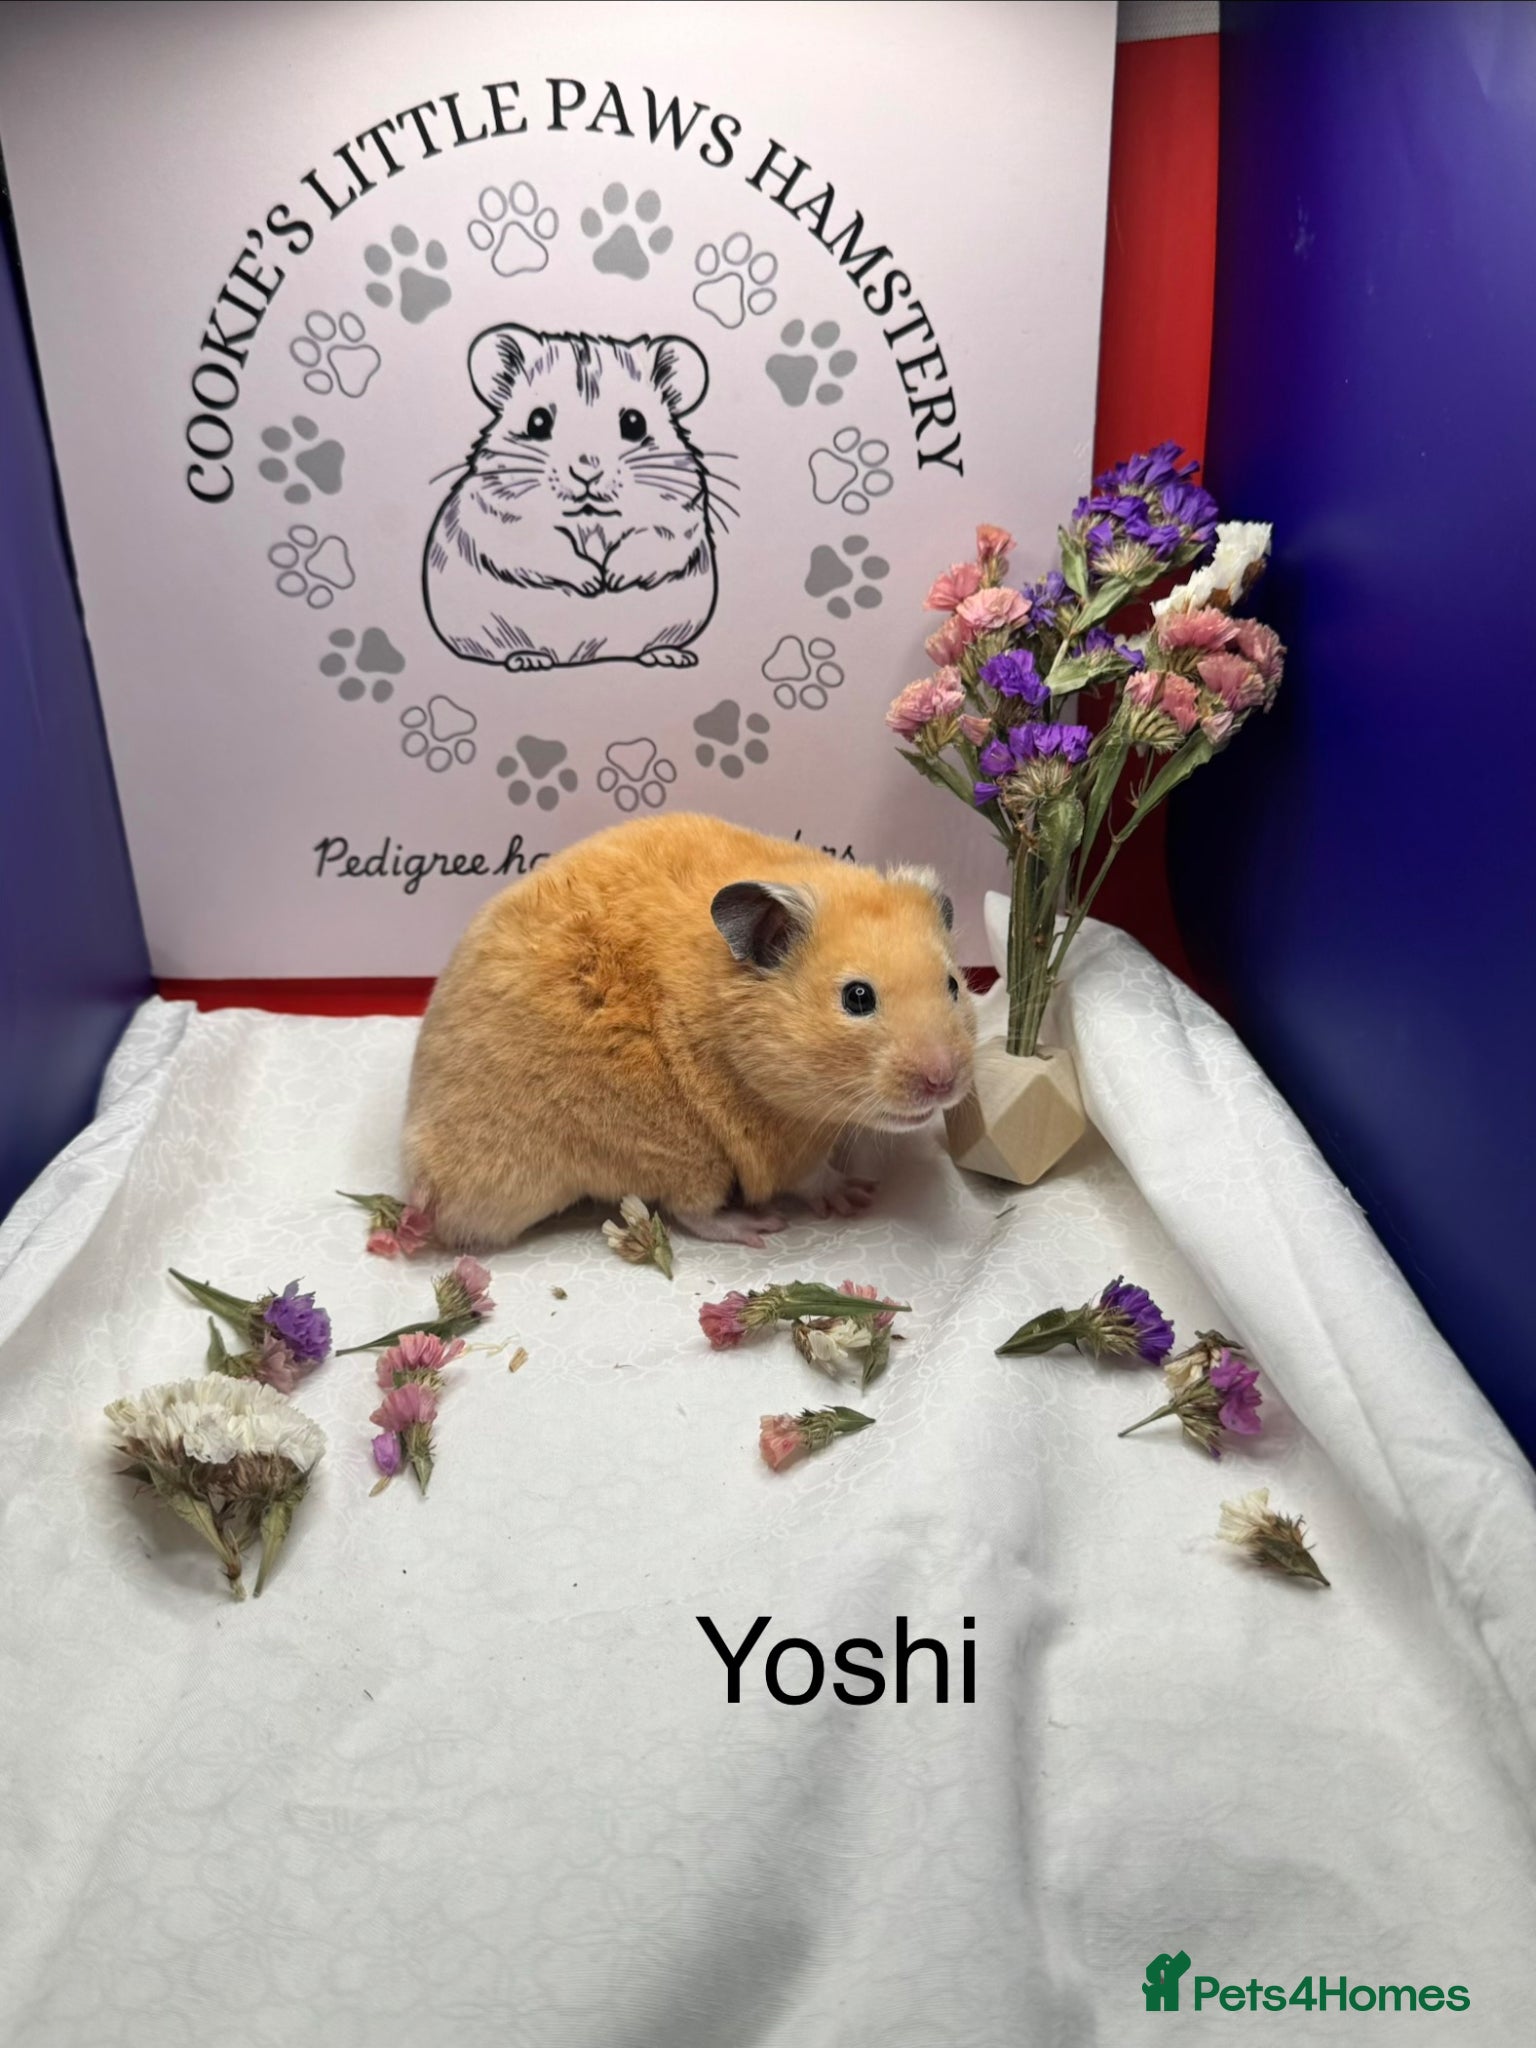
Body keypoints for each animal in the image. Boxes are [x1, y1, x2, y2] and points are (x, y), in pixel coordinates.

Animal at [404, 814, 977, 1250]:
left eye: (953, 984)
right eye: (857, 998)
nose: (943, 1082)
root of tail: (428, 1191)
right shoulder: (778, 1143)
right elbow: (812, 1177)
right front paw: (857, 1196)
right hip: (675, 1150)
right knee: (691, 1212)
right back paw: (756, 1227)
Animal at [423, 324, 719, 672]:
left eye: (634, 422)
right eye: (537, 421)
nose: (586, 471)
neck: (590, 518)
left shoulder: (678, 515)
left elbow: (650, 540)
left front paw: (612, 579)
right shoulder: (502, 517)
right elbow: (546, 548)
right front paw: (593, 582)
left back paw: (669, 655)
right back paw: (529, 659)